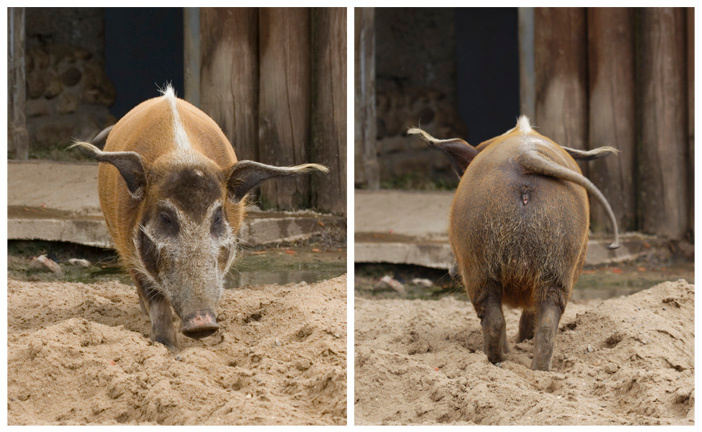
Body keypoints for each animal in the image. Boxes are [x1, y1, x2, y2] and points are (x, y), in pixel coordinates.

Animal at [72, 85, 328, 350]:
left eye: (217, 218)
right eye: (166, 218)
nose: (202, 322)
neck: (183, 157)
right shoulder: (129, 248)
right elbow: (156, 302)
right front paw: (168, 348)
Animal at [408, 116, 619, 371]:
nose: (451, 271)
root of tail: (525, 155)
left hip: (479, 263)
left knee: (494, 319)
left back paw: (497, 360)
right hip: (558, 264)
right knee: (546, 321)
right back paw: (539, 369)